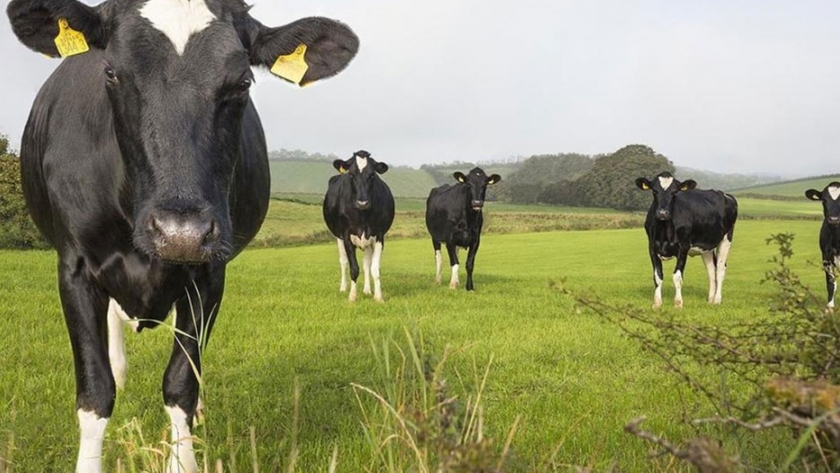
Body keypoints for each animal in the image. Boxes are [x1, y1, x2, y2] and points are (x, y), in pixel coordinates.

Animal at [7, 0, 357, 471]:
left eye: (242, 81)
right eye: (111, 72)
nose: (180, 233)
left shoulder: (209, 273)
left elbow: (180, 382)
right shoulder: (75, 268)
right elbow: (96, 390)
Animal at [323, 150, 395, 302]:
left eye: (372, 175)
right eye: (351, 174)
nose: (362, 203)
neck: (362, 215)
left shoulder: (379, 235)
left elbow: (374, 268)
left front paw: (378, 297)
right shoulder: (346, 236)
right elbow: (354, 268)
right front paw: (352, 296)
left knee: (366, 264)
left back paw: (367, 290)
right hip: (338, 237)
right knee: (343, 262)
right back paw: (343, 288)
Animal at [635, 172, 738, 309]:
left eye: (674, 192)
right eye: (654, 191)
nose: (662, 213)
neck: (664, 231)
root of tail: (726, 195)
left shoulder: (683, 247)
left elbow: (677, 276)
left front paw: (678, 303)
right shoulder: (652, 247)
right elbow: (657, 276)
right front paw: (657, 303)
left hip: (726, 239)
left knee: (720, 269)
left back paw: (717, 300)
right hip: (706, 246)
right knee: (711, 270)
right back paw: (710, 300)